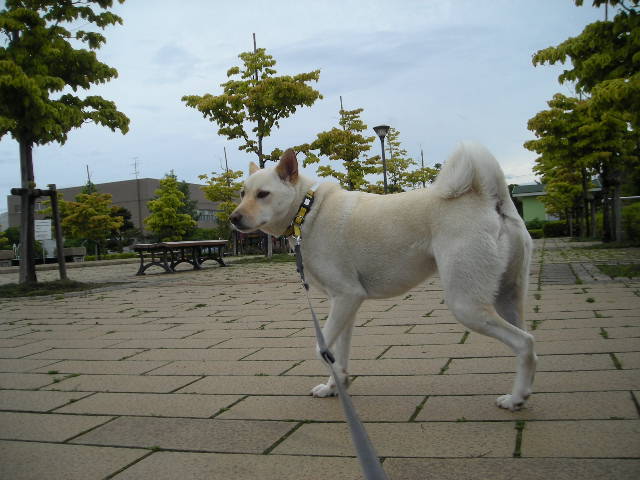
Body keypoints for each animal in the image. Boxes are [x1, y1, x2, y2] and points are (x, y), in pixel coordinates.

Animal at [230, 143, 537, 411]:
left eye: (263, 194)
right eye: (243, 193)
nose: (233, 218)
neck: (307, 211)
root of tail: (489, 198)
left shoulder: (347, 297)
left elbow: (321, 349)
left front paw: (338, 380)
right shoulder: (345, 305)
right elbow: (338, 352)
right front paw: (335, 385)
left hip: (466, 304)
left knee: (524, 343)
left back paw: (515, 399)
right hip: (507, 298)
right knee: (528, 342)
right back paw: (522, 392)